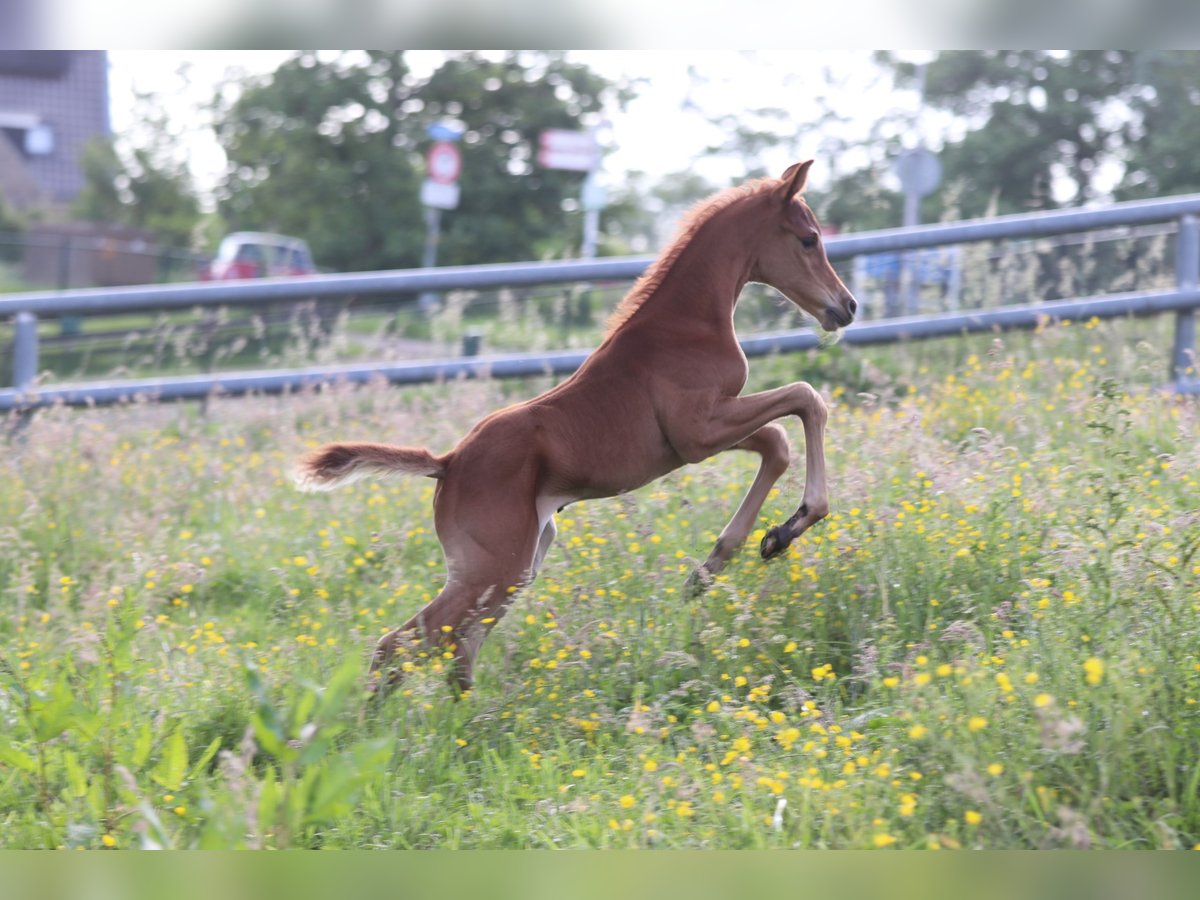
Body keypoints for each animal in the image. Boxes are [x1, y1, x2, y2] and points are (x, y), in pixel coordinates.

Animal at [300, 162, 864, 696]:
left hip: (516, 566)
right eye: (809, 238)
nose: (848, 306)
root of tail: (448, 464)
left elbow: (779, 443)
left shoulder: (708, 430)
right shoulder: (698, 432)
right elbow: (806, 400)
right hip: (495, 568)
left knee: (456, 650)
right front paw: (797, 520)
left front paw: (739, 554)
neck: (685, 324)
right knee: (403, 644)